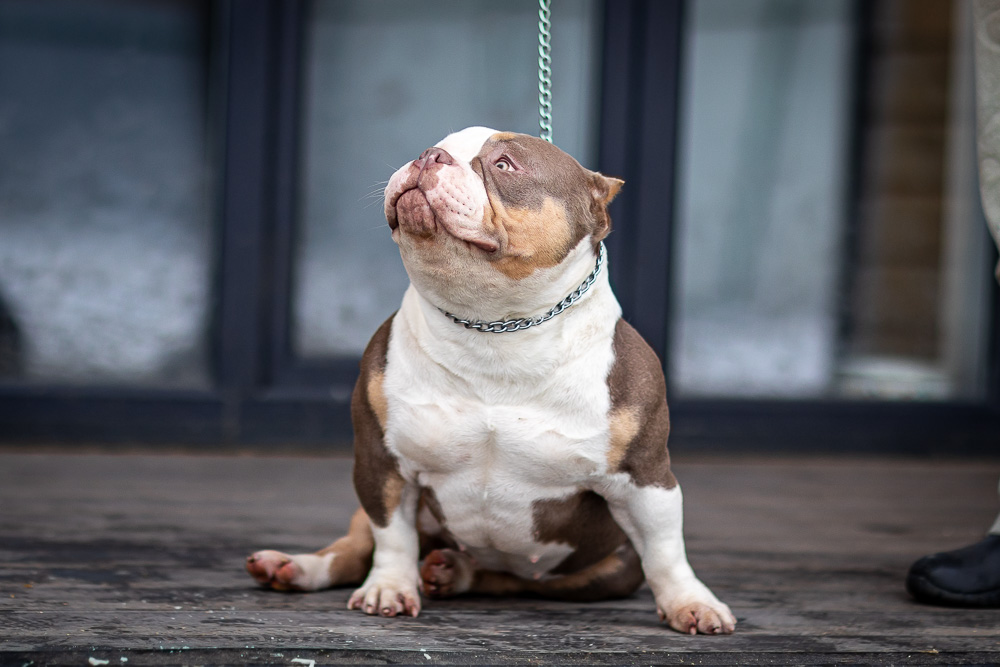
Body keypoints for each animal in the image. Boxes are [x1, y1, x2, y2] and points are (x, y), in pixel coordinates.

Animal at [246, 127, 736, 635]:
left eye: (504, 165)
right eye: (437, 144)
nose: (429, 156)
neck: (495, 329)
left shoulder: (645, 477)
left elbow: (665, 550)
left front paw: (690, 601)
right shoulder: (383, 462)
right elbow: (392, 537)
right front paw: (389, 587)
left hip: (608, 570)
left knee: (513, 580)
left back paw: (454, 572)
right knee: (355, 549)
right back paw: (297, 567)